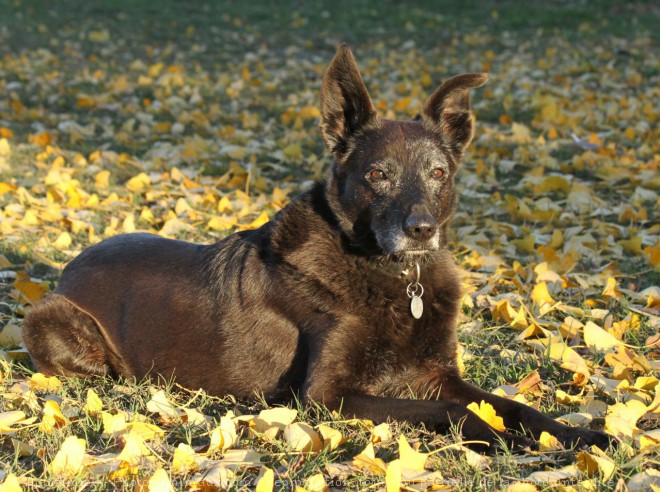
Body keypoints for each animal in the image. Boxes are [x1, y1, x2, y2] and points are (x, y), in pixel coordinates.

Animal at [23, 44, 612, 452]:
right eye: (377, 175)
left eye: (439, 173)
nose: (422, 230)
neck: (396, 276)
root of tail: (69, 266)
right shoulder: (328, 396)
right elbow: (453, 414)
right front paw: (502, 440)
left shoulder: (437, 373)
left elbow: (512, 406)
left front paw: (581, 436)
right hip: (46, 320)